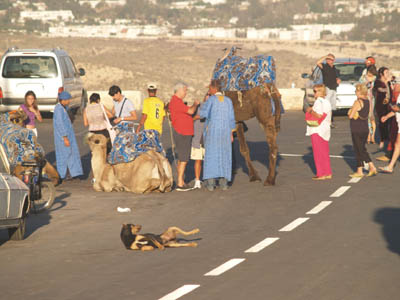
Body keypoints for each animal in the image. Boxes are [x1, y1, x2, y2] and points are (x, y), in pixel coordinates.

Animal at [214, 47, 282, 185]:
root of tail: (269, 86)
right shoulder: (238, 120)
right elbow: (244, 148)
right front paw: (253, 175)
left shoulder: (235, 120)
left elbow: (242, 149)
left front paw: (253, 176)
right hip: (273, 115)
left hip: (264, 117)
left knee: (272, 146)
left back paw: (269, 180)